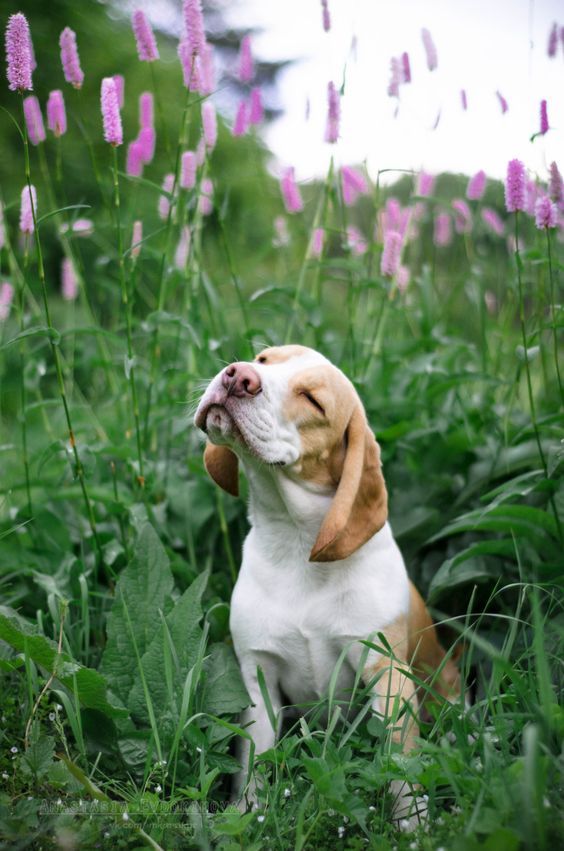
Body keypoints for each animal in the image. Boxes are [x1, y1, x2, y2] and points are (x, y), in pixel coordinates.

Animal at [194, 344, 462, 824]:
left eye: (313, 401)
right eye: (262, 359)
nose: (237, 376)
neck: (296, 545)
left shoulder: (386, 673)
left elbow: (401, 768)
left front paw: (413, 828)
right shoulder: (258, 675)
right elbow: (252, 761)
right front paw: (246, 815)